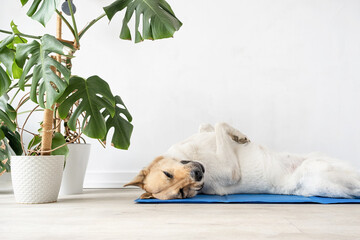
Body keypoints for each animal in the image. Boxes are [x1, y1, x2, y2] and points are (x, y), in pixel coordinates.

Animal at [124, 123, 360, 200]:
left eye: (168, 174)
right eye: (181, 193)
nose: (198, 174)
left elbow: (209, 125)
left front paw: (237, 136)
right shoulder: (231, 171)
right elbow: (220, 124)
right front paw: (238, 136)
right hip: (329, 175)